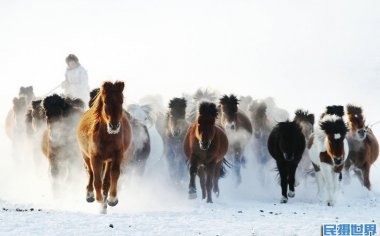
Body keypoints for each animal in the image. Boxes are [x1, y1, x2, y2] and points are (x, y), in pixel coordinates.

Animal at [76, 81, 131, 212]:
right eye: (106, 101)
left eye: (121, 101)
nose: (114, 126)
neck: (107, 136)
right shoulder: (95, 157)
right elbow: (96, 179)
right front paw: (99, 199)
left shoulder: (117, 155)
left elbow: (114, 174)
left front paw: (112, 199)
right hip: (85, 155)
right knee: (90, 172)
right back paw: (90, 195)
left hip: (108, 160)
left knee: (106, 180)